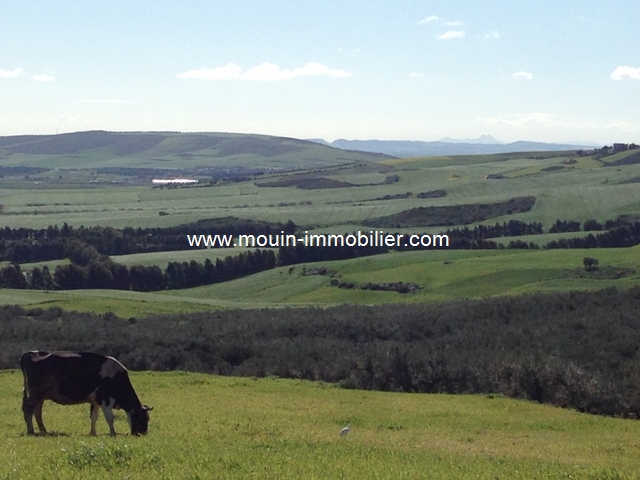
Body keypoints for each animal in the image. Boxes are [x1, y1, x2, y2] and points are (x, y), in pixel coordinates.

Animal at [20, 350, 152, 436]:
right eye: (142, 418)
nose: (144, 432)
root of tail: (32, 353)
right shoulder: (105, 400)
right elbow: (110, 418)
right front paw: (113, 433)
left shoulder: (95, 401)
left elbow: (94, 417)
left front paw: (93, 433)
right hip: (36, 393)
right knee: (28, 408)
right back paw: (31, 431)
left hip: (41, 396)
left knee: (37, 411)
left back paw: (44, 431)